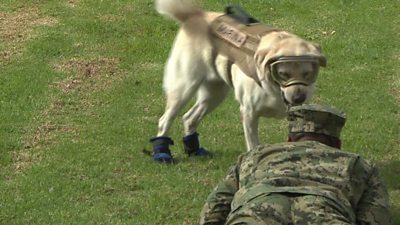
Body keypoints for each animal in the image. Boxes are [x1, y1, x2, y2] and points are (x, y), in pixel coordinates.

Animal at [149, 0, 324, 162]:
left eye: (307, 74)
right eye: (283, 74)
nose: (298, 98)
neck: (274, 88)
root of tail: (196, 14)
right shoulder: (249, 113)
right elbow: (253, 145)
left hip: (214, 94)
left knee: (189, 118)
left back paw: (195, 151)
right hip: (184, 88)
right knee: (165, 120)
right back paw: (162, 153)